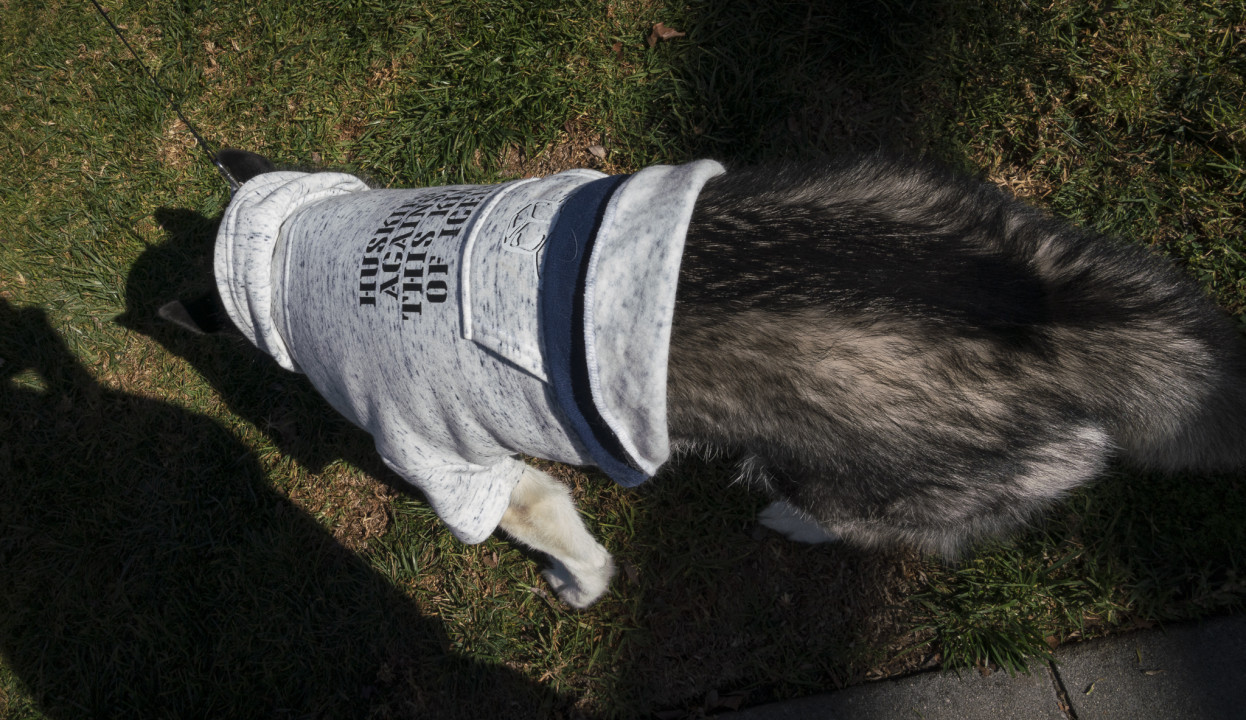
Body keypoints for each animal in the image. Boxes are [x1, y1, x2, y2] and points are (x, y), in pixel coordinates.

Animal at [162, 149, 1246, 608]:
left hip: (858, 476)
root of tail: (1042, 311)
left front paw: (580, 585)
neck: (305, 250)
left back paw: (791, 519)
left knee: (897, 524)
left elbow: (560, 537)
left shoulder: (465, 470)